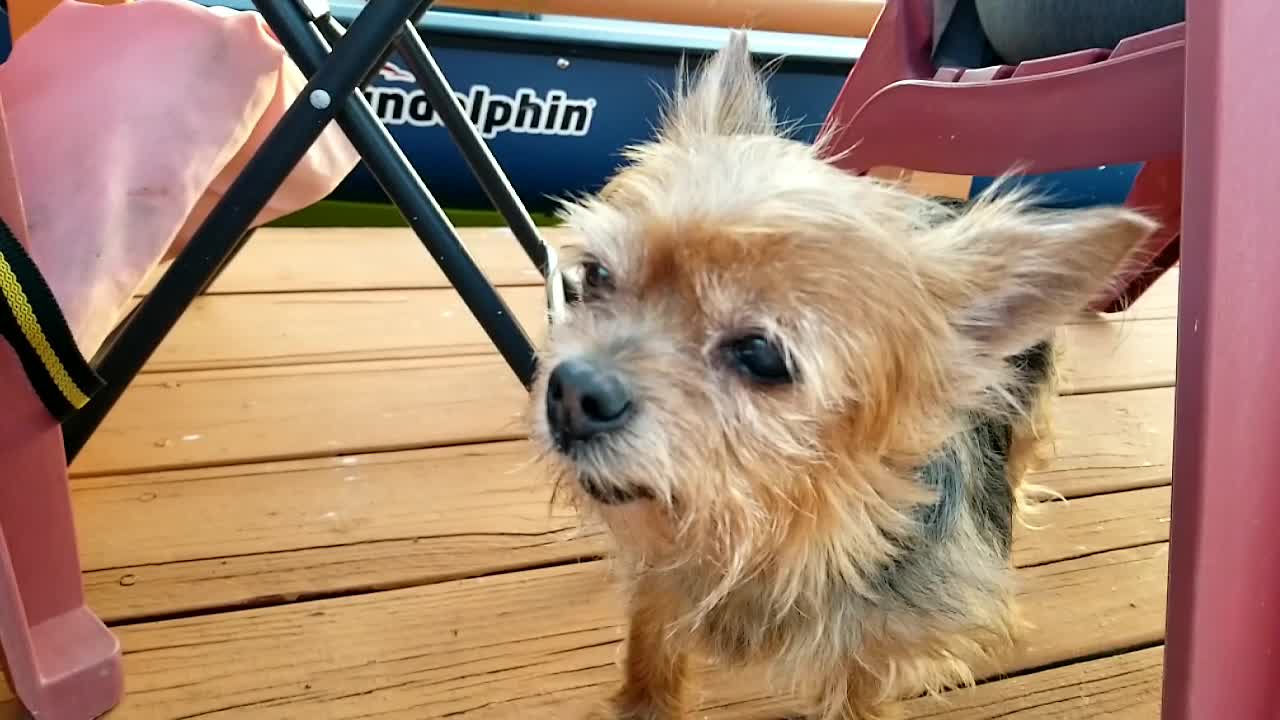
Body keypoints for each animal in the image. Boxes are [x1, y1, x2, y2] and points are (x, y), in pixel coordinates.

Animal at [524, 33, 1157, 717]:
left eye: (762, 355)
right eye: (595, 277)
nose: (573, 392)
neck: (763, 532)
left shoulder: (870, 652)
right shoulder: (658, 582)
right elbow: (651, 652)